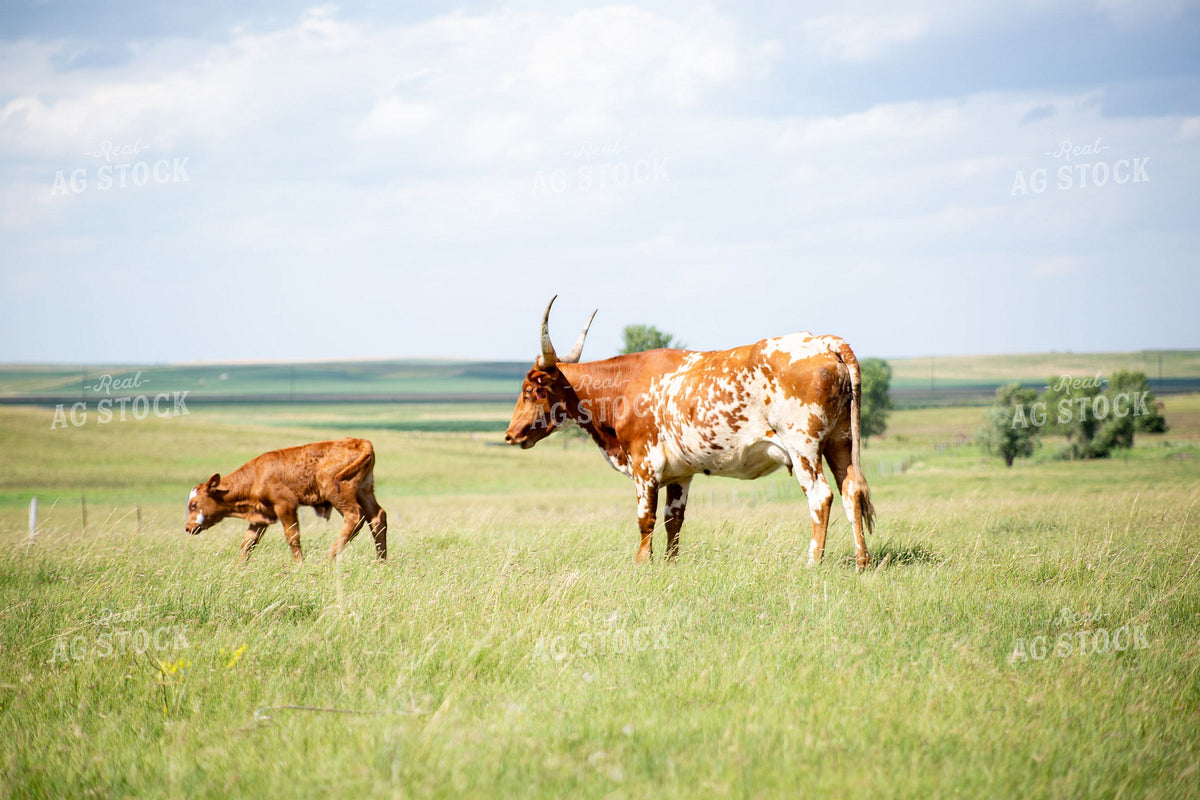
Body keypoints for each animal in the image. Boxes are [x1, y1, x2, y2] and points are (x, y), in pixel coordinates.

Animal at [184, 437, 388, 563]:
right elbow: (248, 542)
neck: (257, 474)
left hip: (338, 493)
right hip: (365, 492)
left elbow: (292, 537)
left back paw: (328, 558)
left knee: (355, 517)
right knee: (377, 517)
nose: (187, 528)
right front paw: (237, 568)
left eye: (194, 504)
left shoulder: (285, 506)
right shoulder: (261, 515)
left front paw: (300, 565)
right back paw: (381, 561)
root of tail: (358, 441)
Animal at [504, 297, 876, 570]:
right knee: (851, 490)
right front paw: (671, 563)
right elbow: (674, 519)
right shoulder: (680, 473)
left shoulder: (645, 465)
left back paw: (813, 562)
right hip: (840, 441)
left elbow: (645, 518)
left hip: (803, 447)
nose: (509, 435)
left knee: (820, 496)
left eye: (530, 391)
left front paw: (642, 563)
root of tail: (824, 342)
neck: (623, 388)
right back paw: (861, 561)